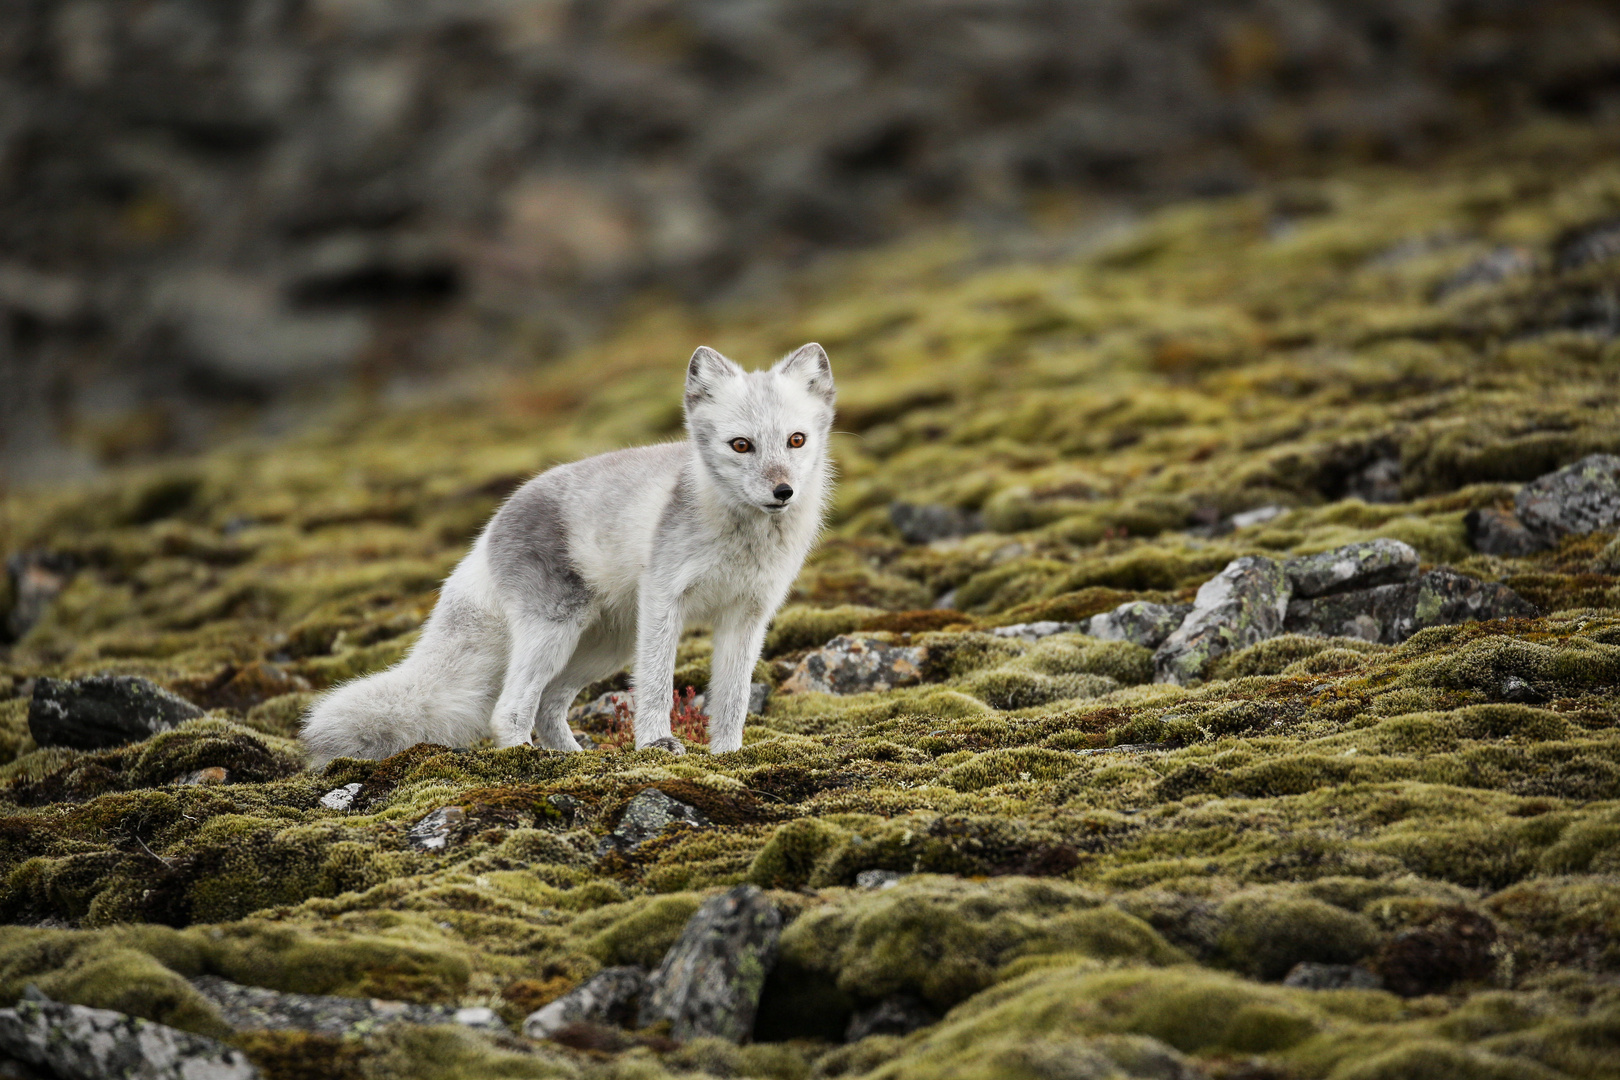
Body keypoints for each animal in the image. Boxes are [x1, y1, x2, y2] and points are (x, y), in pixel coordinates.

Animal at [299, 341, 835, 764]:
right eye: (741, 445)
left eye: (797, 440)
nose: (783, 491)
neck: (744, 539)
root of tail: (490, 528)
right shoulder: (666, 600)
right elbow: (657, 686)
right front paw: (656, 744)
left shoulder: (748, 615)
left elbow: (733, 698)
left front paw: (727, 754)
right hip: (556, 630)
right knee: (511, 708)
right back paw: (525, 760)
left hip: (605, 645)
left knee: (548, 705)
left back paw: (574, 757)